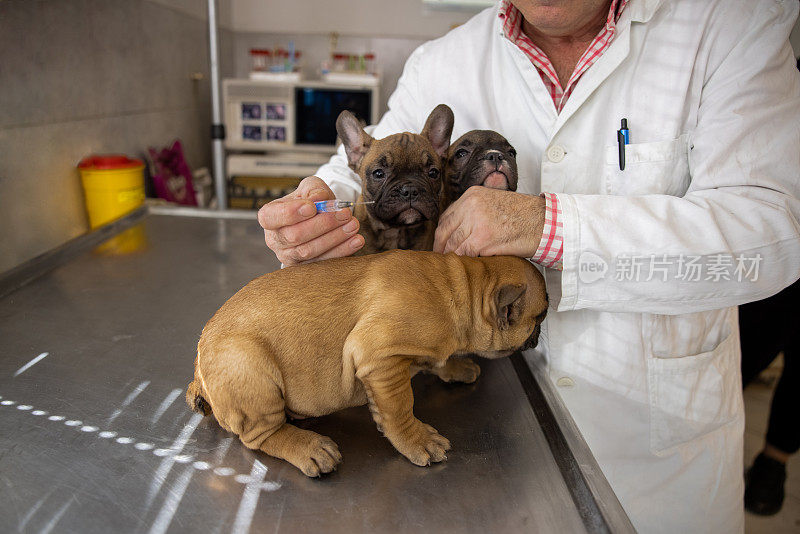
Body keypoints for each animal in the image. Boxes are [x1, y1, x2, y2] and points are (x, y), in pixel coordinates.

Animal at [188, 250, 552, 478]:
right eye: (541, 315)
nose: (541, 334)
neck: (464, 287)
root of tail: (198, 370)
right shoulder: (380, 359)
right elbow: (399, 408)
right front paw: (417, 440)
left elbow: (439, 361)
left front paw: (457, 367)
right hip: (249, 371)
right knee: (261, 436)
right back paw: (308, 447)